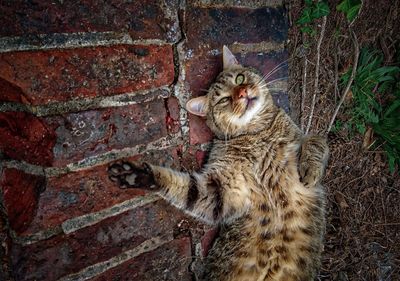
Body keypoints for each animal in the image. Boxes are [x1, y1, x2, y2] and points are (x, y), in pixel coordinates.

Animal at [107, 46, 328, 280]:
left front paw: (311, 171)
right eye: (223, 100)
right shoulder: (226, 190)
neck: (256, 132)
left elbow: (317, 142)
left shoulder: (304, 137)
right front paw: (138, 176)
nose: (242, 93)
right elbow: (187, 189)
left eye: (239, 78)